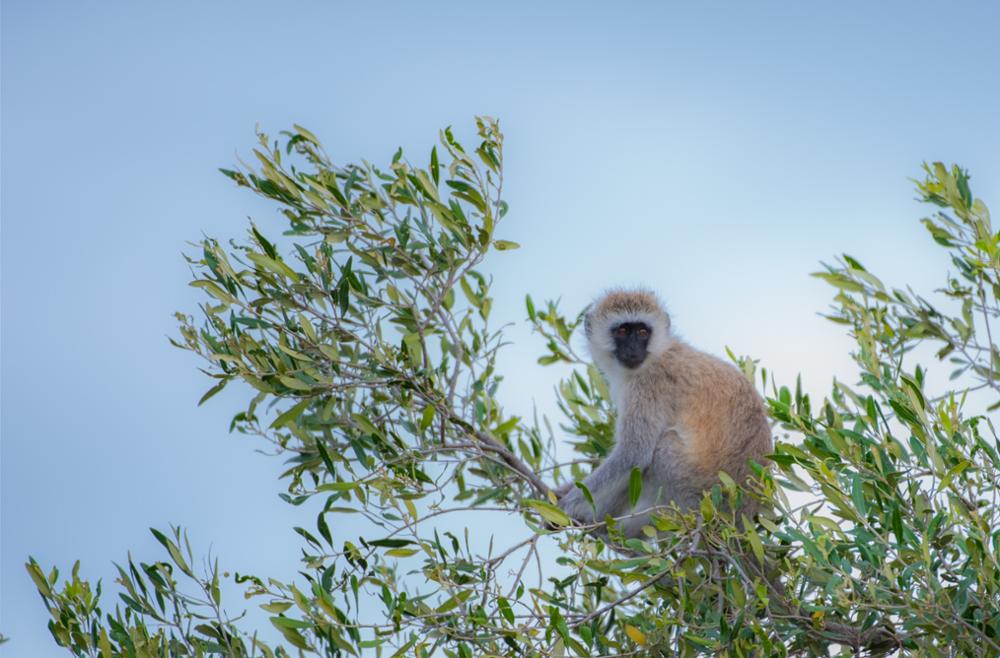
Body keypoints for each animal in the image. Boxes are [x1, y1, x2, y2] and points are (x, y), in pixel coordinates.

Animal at [556, 290, 772, 536]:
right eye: (622, 331)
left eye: (642, 332)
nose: (633, 350)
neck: (657, 354)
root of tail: (740, 519)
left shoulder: (648, 385)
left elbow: (633, 454)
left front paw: (568, 504)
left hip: (702, 493)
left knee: (662, 450)